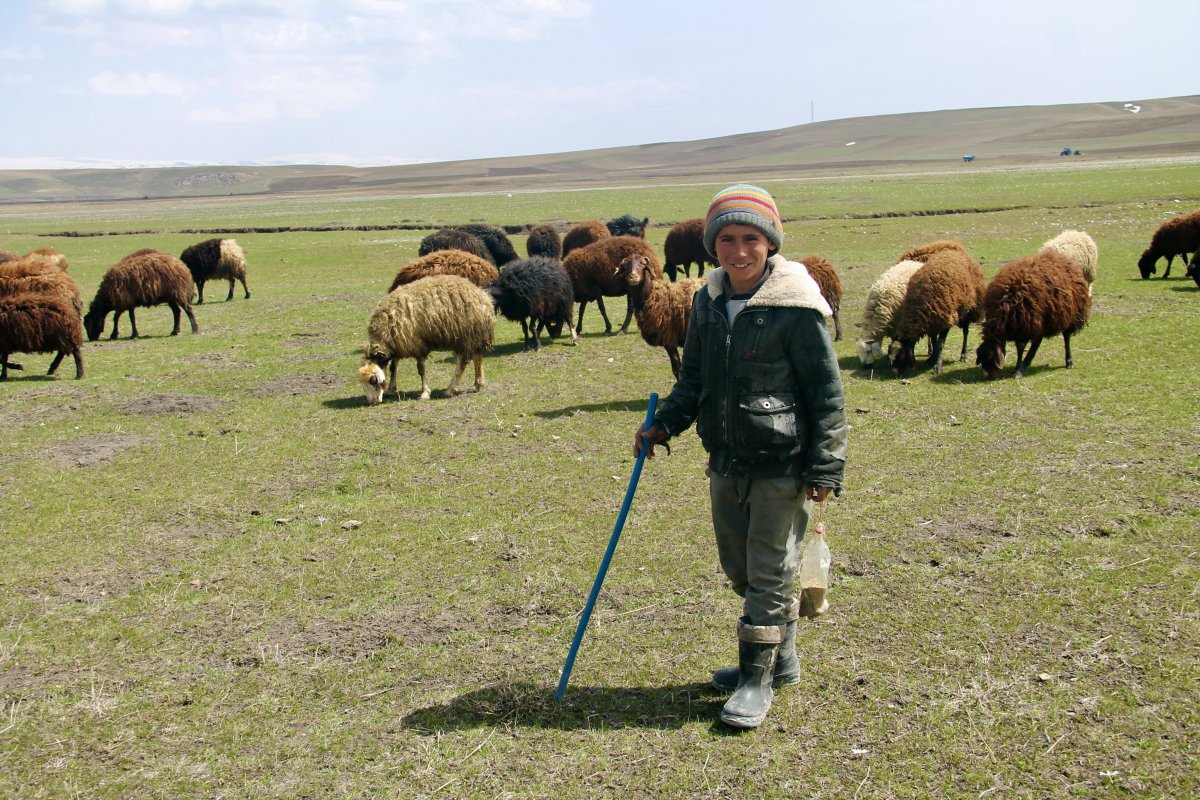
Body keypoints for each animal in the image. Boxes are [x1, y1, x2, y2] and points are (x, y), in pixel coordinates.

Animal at [355, 273, 492, 402]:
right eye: (363, 387)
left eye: (373, 380)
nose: (373, 402)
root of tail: (483, 296)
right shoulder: (399, 344)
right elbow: (393, 366)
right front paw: (391, 389)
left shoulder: (417, 344)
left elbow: (421, 370)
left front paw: (425, 393)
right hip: (473, 336)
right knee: (477, 356)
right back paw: (478, 384)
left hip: (466, 336)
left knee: (463, 362)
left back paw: (450, 389)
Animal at [892, 248, 984, 376]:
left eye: (901, 354)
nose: (896, 375)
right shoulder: (932, 322)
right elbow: (934, 341)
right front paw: (932, 359)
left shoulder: (945, 319)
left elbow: (940, 344)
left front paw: (937, 365)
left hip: (967, 311)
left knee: (966, 332)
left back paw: (963, 354)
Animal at [979, 248, 1094, 381]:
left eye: (990, 358)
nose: (988, 377)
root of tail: (1064, 259)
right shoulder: (1024, 324)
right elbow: (1023, 346)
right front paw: (1019, 367)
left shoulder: (1027, 324)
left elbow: (1023, 347)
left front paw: (1018, 371)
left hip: (1070, 315)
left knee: (1066, 337)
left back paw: (1069, 361)